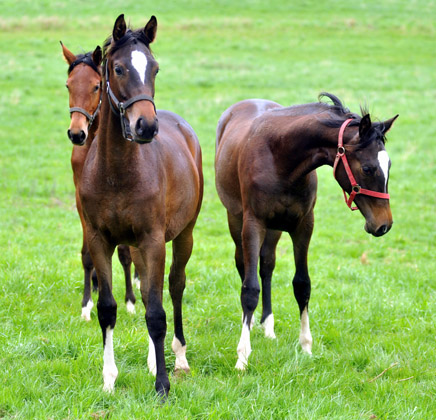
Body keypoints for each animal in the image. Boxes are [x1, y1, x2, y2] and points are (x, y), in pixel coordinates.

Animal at [61, 42, 136, 320]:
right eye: (68, 85)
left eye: (96, 86)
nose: (76, 133)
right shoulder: (82, 201)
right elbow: (88, 255)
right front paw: (87, 304)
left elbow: (125, 253)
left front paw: (130, 301)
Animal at [79, 15, 204, 398]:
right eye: (118, 68)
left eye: (155, 68)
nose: (146, 126)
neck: (117, 173)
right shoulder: (100, 240)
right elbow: (108, 308)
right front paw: (108, 379)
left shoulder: (153, 240)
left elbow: (157, 313)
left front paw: (162, 384)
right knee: (149, 292)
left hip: (182, 235)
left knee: (173, 287)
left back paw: (178, 357)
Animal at [215, 92, 398, 370]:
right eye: (367, 168)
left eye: (389, 166)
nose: (383, 224)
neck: (280, 157)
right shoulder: (253, 224)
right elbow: (250, 288)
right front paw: (242, 357)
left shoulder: (303, 226)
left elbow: (302, 285)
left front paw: (306, 347)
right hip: (236, 220)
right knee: (244, 264)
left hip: (274, 229)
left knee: (267, 265)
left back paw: (267, 325)